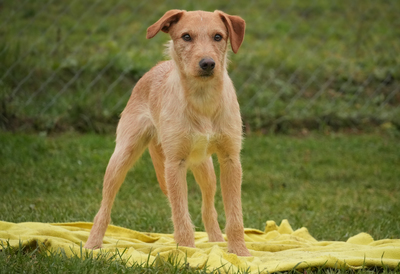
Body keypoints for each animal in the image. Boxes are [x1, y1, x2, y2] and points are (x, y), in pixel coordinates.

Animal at [84, 9, 250, 256]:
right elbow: (181, 216)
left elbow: (235, 215)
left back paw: (216, 241)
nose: (208, 63)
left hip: (206, 168)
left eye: (218, 37)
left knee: (208, 208)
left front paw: (240, 252)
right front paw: (188, 253)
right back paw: (92, 243)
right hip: (121, 158)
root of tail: (156, 67)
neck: (203, 99)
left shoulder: (230, 160)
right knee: (104, 207)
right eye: (186, 36)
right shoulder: (174, 163)